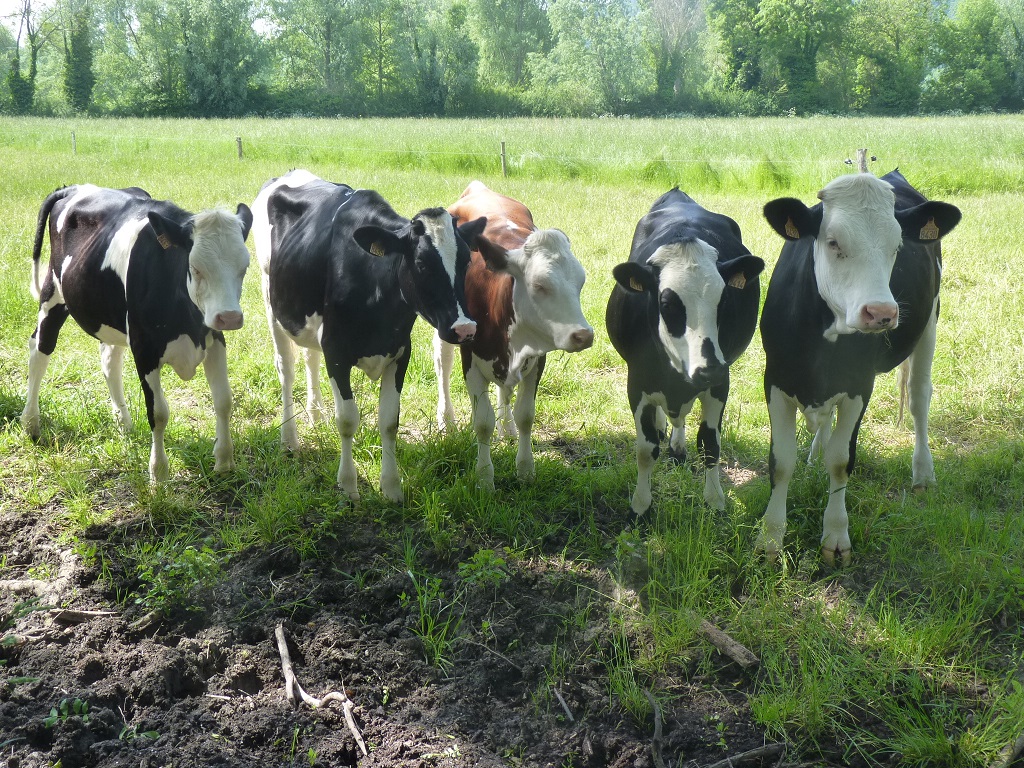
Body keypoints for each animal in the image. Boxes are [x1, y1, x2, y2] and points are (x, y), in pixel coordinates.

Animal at [22, 184, 253, 481]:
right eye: (196, 268)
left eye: (244, 268)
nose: (230, 317)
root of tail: (74, 187)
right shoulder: (144, 349)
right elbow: (159, 412)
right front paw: (159, 474)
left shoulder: (213, 338)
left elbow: (223, 400)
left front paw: (224, 462)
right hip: (53, 293)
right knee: (40, 348)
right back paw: (31, 422)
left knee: (109, 359)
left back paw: (124, 422)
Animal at [249, 168, 485, 505]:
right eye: (422, 263)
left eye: (466, 260)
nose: (465, 328)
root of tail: (291, 173)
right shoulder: (336, 351)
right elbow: (347, 420)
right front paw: (348, 487)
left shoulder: (400, 352)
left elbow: (389, 420)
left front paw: (392, 487)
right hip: (271, 297)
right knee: (286, 369)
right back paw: (289, 440)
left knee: (309, 357)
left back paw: (316, 415)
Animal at [430, 183, 593, 489]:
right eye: (539, 285)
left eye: (581, 282)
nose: (583, 335)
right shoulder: (471, 361)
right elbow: (482, 422)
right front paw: (484, 478)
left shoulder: (536, 359)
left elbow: (526, 416)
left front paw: (525, 469)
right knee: (442, 364)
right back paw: (447, 421)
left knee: (504, 390)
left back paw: (507, 428)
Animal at [602, 189, 765, 520]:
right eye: (667, 304)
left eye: (723, 301)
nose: (709, 368)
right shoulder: (637, 385)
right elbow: (645, 449)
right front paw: (640, 505)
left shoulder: (720, 384)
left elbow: (710, 445)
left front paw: (715, 500)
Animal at [757, 169, 962, 565]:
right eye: (833, 242)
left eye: (897, 246)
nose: (881, 312)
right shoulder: (775, 380)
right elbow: (782, 461)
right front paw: (770, 539)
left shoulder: (858, 386)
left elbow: (840, 460)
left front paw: (836, 535)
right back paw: (814, 452)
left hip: (930, 320)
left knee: (918, 398)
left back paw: (923, 472)